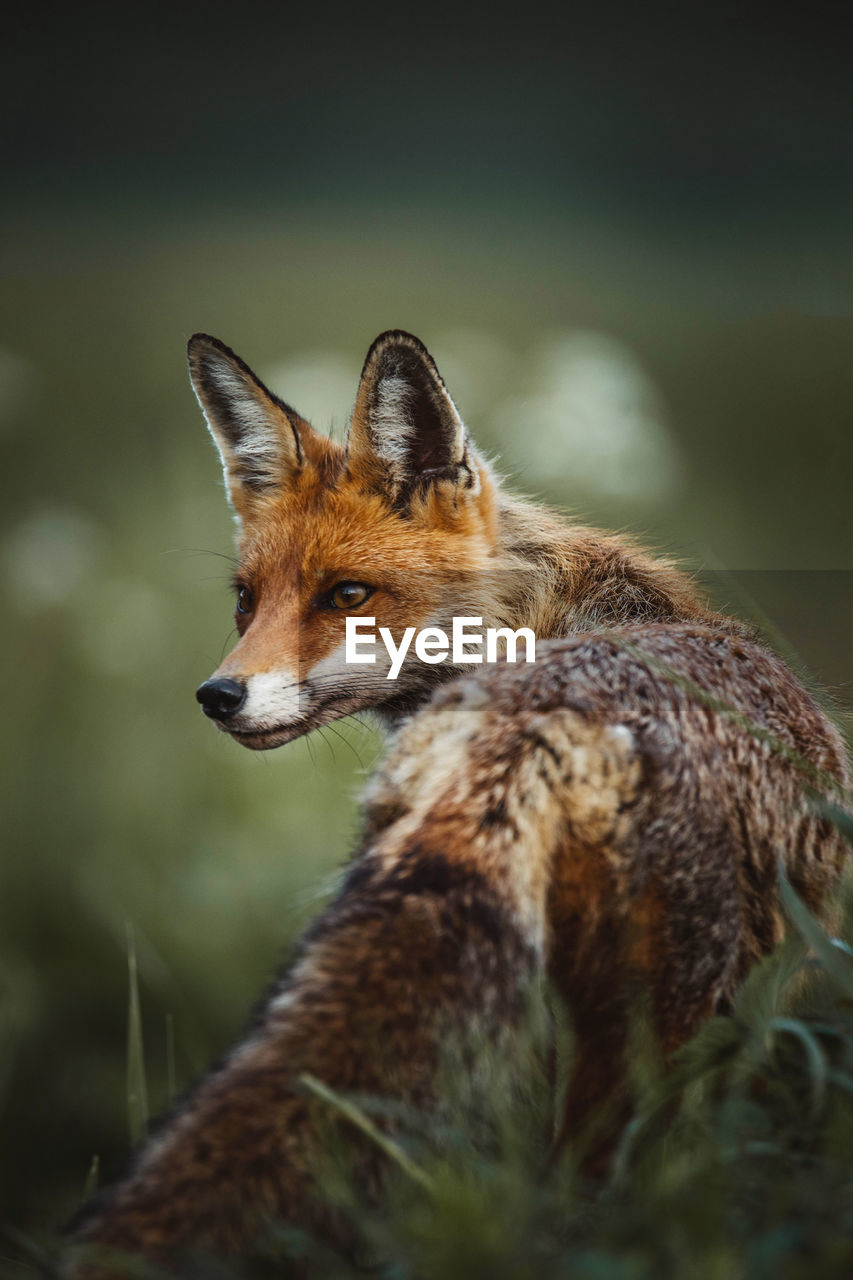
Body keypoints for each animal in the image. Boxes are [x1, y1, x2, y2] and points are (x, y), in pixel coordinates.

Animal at [69, 327, 845, 1269]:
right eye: (246, 601)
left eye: (348, 595)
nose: (218, 697)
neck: (546, 624)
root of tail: (534, 727)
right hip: (655, 1034)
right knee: (590, 1196)